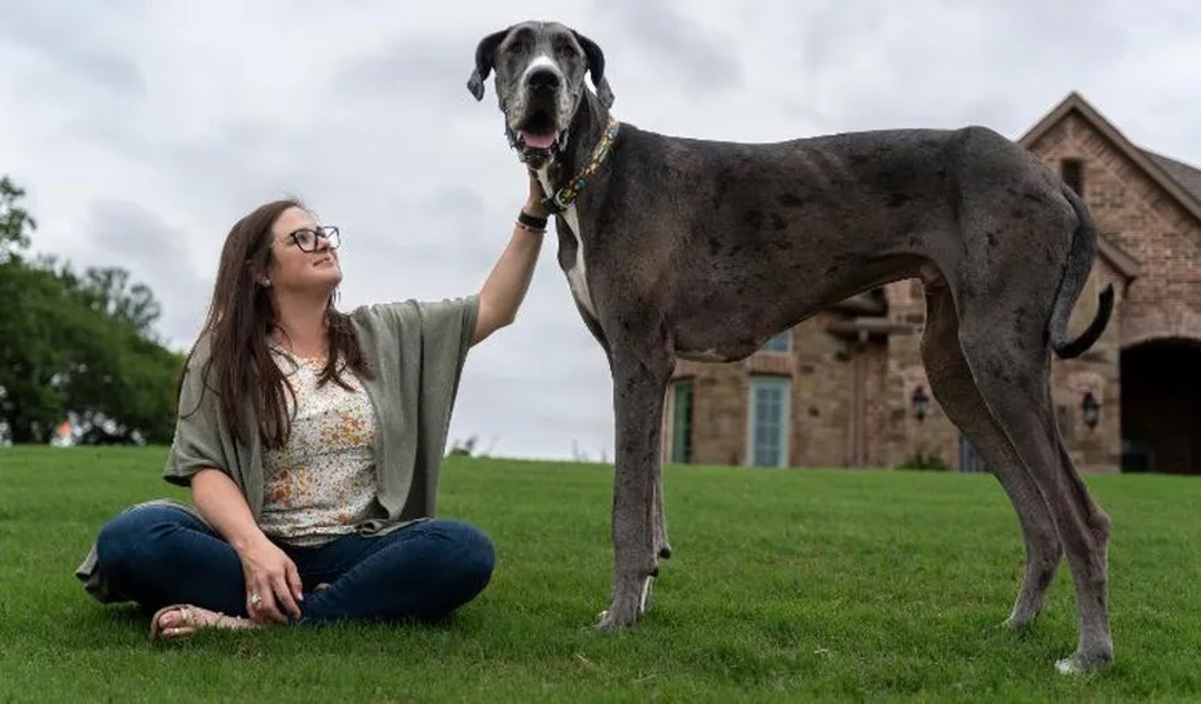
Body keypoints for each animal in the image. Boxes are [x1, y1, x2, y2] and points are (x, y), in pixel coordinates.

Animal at [465, 19, 1114, 672]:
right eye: (516, 49)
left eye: (568, 52)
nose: (543, 82)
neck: (593, 171)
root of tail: (1054, 180)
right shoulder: (646, 368)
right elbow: (649, 500)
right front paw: (639, 602)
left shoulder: (639, 358)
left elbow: (627, 508)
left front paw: (618, 618)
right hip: (953, 368)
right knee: (1040, 516)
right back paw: (1018, 626)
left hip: (999, 355)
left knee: (1083, 517)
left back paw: (1090, 655)